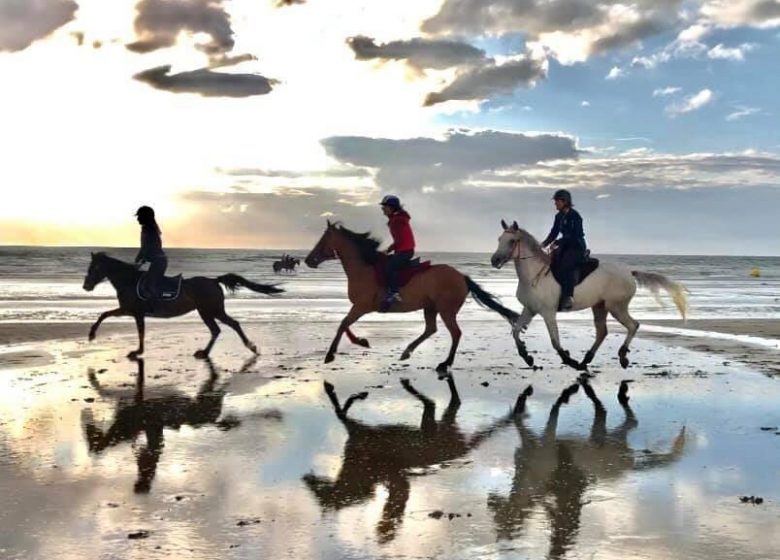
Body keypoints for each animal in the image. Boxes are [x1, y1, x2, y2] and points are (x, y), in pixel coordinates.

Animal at [84, 250, 284, 356]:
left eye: (95, 267)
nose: (86, 286)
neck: (129, 281)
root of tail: (214, 280)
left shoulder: (133, 311)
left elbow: (132, 327)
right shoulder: (129, 311)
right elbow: (106, 315)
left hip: (211, 311)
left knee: (230, 325)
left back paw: (249, 347)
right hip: (207, 312)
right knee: (218, 329)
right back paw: (206, 352)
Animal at [306, 221, 524, 374]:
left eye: (323, 240)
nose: (308, 260)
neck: (364, 267)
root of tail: (461, 276)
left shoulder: (361, 306)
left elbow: (343, 324)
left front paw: (331, 354)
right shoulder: (360, 307)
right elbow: (345, 325)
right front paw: (361, 341)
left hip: (446, 310)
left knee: (455, 333)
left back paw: (445, 363)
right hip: (431, 307)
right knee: (431, 329)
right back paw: (407, 352)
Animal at [490, 220, 684, 372]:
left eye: (512, 241)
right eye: (499, 239)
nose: (494, 260)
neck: (533, 275)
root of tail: (629, 272)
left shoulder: (548, 313)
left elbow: (555, 341)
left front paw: (569, 361)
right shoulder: (530, 309)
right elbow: (515, 331)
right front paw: (527, 356)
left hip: (616, 307)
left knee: (633, 325)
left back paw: (621, 357)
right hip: (599, 306)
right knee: (602, 332)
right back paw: (586, 360)